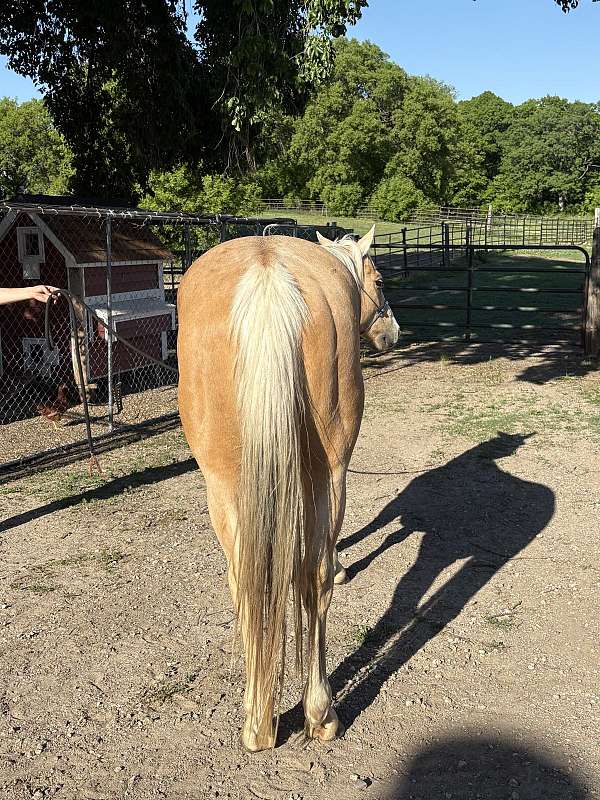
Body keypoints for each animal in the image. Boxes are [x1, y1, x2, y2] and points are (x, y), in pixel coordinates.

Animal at [177, 226, 400, 752]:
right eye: (379, 281)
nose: (392, 333)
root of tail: (267, 273)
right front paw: (342, 565)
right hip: (326, 473)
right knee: (309, 577)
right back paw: (317, 713)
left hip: (225, 485)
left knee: (246, 578)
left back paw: (261, 722)